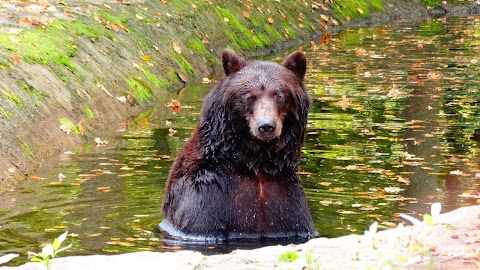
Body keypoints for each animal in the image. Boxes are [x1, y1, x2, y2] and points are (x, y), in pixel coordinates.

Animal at [161, 48, 316, 240]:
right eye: (249, 96)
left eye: (279, 95)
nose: (266, 126)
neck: (254, 162)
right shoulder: (206, 191)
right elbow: (200, 222)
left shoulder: (286, 197)